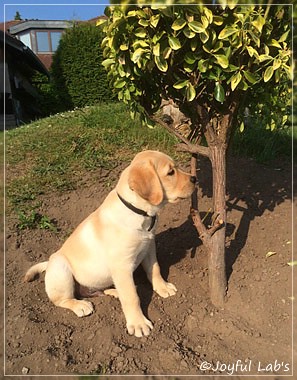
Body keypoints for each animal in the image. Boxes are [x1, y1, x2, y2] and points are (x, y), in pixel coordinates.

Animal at [25, 150, 195, 336]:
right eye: (171, 172)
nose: (194, 178)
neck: (139, 212)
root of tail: (48, 264)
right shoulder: (122, 266)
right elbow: (131, 297)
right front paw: (138, 323)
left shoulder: (149, 247)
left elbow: (155, 270)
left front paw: (162, 287)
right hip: (61, 268)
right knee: (62, 300)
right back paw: (80, 305)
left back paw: (114, 291)